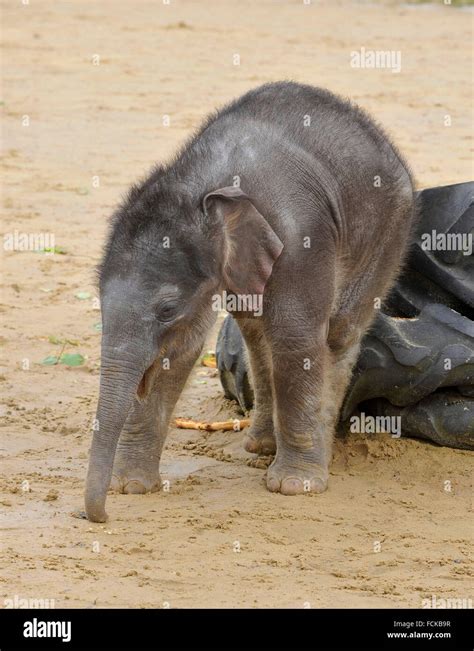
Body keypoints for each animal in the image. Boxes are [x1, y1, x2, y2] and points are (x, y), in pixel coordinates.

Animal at [84, 81, 414, 524]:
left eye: (166, 310)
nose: (102, 516)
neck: (203, 182)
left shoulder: (300, 237)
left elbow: (296, 337)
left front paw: (293, 487)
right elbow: (181, 350)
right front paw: (132, 487)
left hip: (389, 233)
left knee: (337, 335)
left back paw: (311, 458)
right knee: (256, 332)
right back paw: (262, 447)